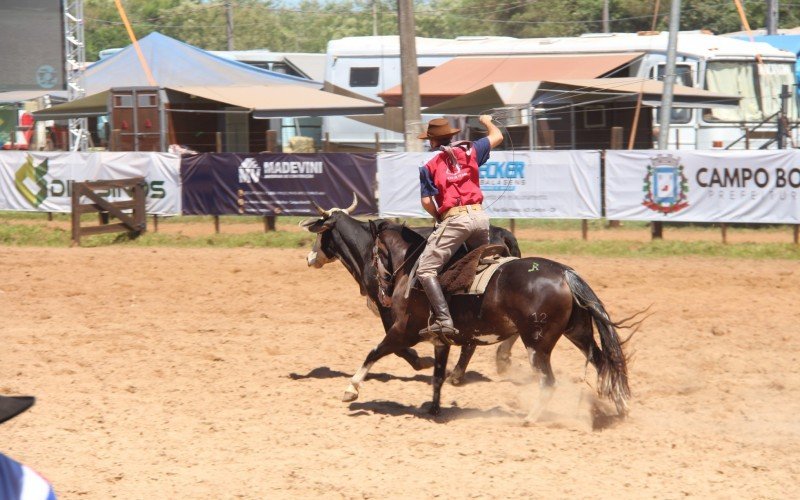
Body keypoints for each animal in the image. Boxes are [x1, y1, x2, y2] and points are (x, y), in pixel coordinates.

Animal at [372, 221, 636, 420]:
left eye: (373, 255)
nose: (382, 295)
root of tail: (565, 274)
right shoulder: (441, 341)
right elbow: (438, 375)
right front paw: (434, 407)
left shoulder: (405, 330)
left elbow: (376, 353)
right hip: (578, 332)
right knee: (604, 362)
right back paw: (621, 408)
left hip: (537, 344)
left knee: (549, 381)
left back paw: (531, 416)